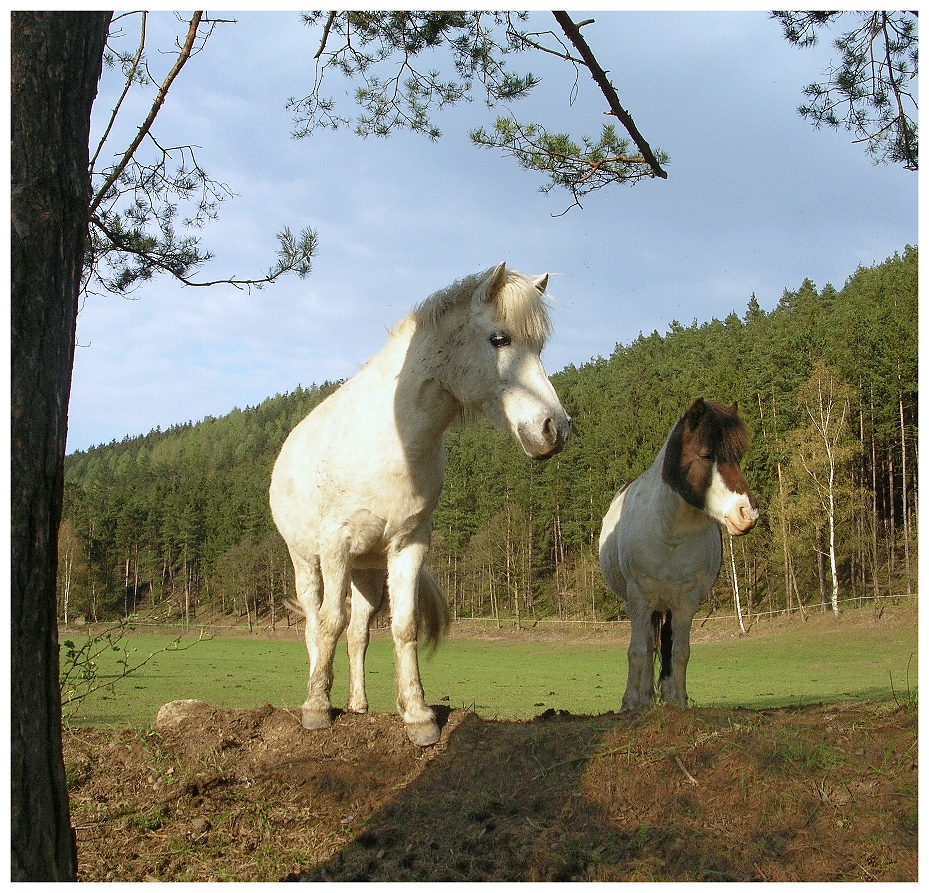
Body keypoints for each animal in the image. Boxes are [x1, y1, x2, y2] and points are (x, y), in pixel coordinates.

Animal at [272, 264, 568, 744]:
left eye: (539, 346)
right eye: (500, 339)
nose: (554, 429)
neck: (393, 440)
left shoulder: (409, 544)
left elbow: (403, 626)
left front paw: (417, 715)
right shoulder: (335, 544)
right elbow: (330, 621)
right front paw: (316, 708)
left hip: (367, 572)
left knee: (358, 632)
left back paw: (358, 707)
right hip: (307, 562)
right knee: (317, 625)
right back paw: (319, 694)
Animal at [600, 400, 756, 716]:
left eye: (738, 456)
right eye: (706, 455)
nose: (748, 514)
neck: (670, 533)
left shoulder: (687, 602)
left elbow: (680, 652)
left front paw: (678, 700)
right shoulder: (639, 599)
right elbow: (638, 651)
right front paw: (631, 702)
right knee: (647, 646)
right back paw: (643, 697)